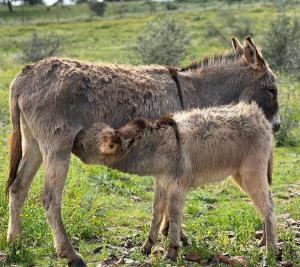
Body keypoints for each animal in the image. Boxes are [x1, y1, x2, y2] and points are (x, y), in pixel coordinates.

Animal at [72, 102, 276, 262]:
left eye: (82, 144)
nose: (71, 141)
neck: (161, 146)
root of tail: (260, 117)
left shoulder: (177, 188)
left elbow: (174, 215)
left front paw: (171, 251)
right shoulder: (161, 184)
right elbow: (156, 213)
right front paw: (147, 247)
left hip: (251, 174)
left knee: (267, 208)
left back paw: (272, 250)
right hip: (240, 176)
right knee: (268, 203)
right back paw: (264, 241)